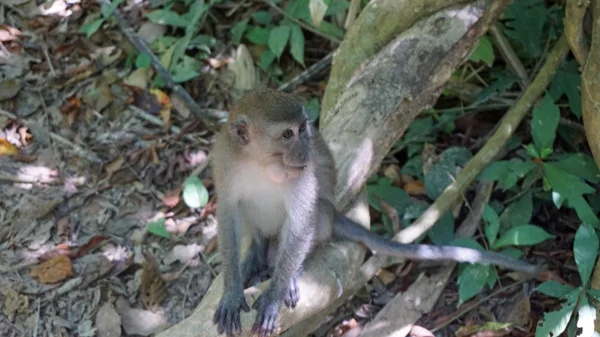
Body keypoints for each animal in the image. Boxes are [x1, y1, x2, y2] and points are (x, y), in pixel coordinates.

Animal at [210, 87, 540, 336]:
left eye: (302, 129)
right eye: (288, 135)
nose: (304, 151)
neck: (261, 162)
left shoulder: (300, 174)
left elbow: (301, 221)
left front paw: (275, 294)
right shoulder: (225, 158)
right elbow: (228, 213)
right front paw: (232, 290)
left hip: (324, 217)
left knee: (315, 216)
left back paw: (289, 271)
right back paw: (256, 252)